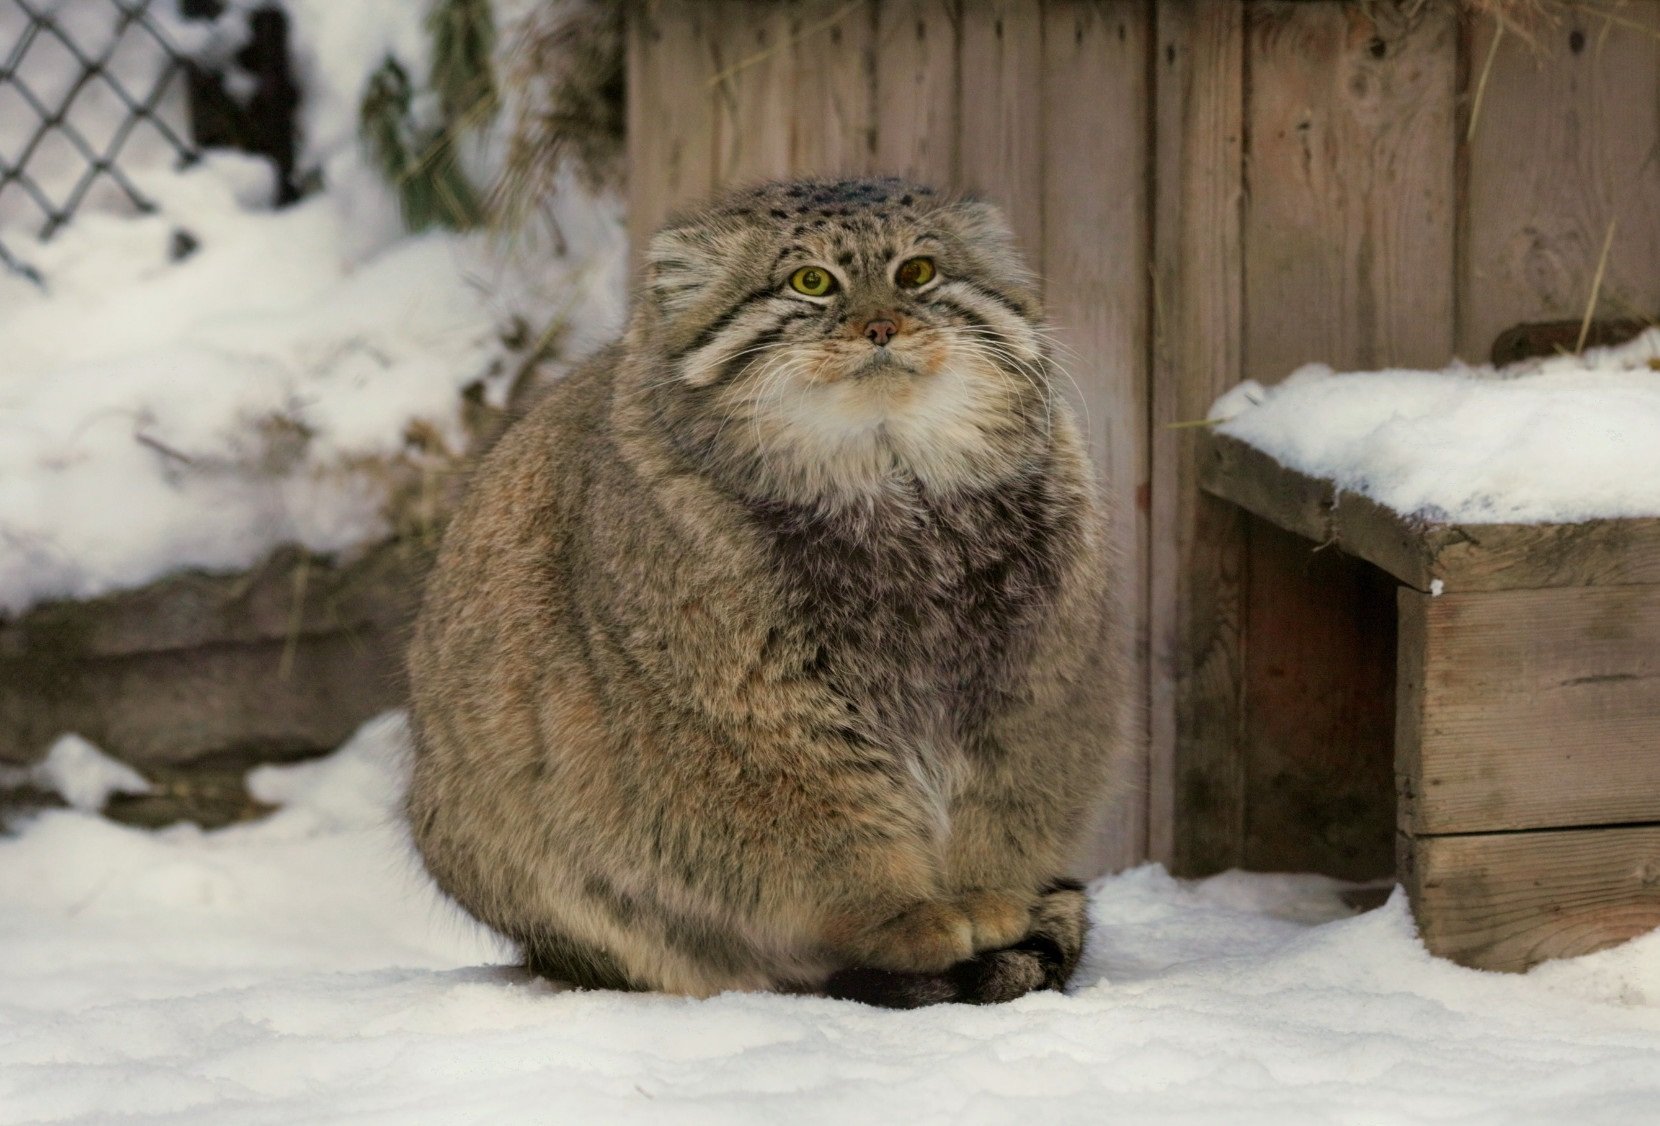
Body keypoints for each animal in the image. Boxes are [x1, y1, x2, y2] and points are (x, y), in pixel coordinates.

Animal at [406, 176, 1125, 1007]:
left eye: (917, 273)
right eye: (810, 282)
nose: (882, 325)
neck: (890, 482)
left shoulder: (1029, 689)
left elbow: (1001, 810)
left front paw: (986, 897)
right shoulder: (754, 719)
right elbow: (833, 827)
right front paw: (903, 916)